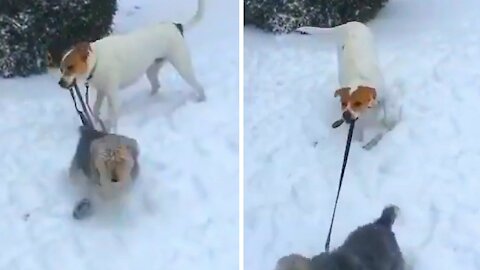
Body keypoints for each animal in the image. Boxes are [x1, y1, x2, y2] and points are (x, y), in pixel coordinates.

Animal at [57, 0, 205, 132]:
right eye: (61, 69)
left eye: (70, 67)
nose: (60, 82)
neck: (97, 60)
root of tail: (176, 26)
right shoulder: (102, 90)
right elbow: (95, 108)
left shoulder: (113, 95)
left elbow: (112, 118)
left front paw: (112, 132)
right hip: (152, 69)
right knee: (156, 85)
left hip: (182, 65)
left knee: (198, 85)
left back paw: (202, 99)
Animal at [296, 21, 402, 149]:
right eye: (343, 103)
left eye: (358, 103)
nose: (345, 115)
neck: (359, 79)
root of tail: (350, 23)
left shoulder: (384, 95)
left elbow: (387, 114)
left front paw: (390, 125)